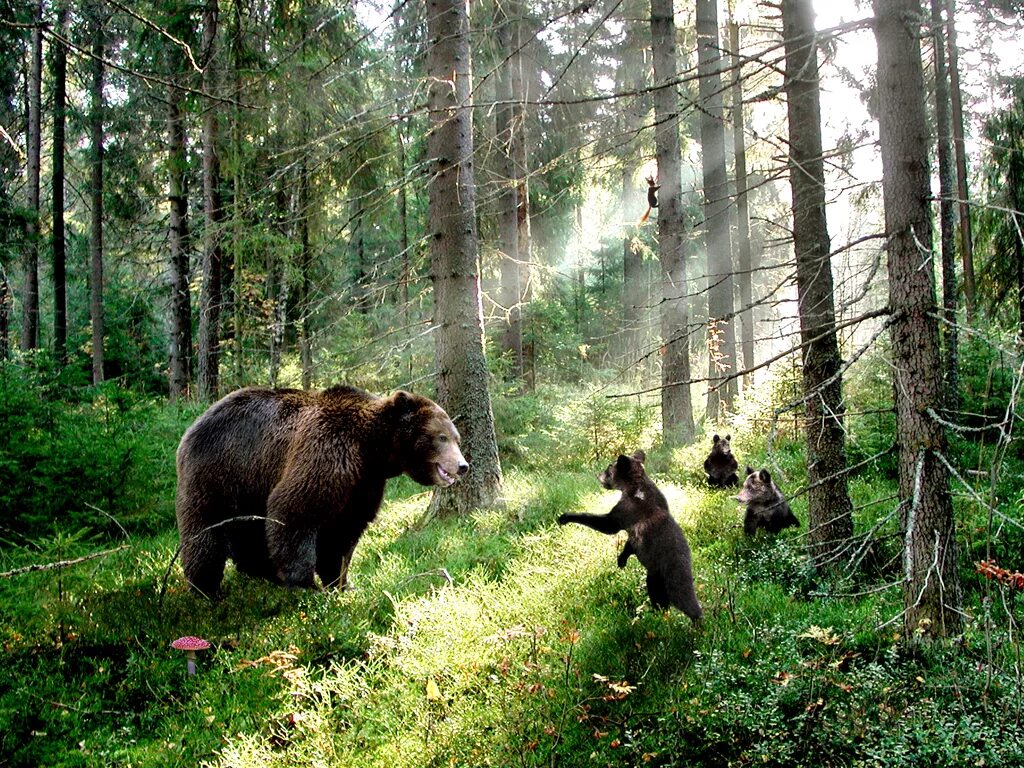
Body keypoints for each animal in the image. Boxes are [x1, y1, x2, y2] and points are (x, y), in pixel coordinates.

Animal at [174, 387, 466, 598]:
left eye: (457, 438)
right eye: (441, 437)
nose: (462, 465)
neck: (372, 450)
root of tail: (191, 428)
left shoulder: (362, 484)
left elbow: (343, 533)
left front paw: (341, 583)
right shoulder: (328, 450)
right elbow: (295, 509)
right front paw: (306, 585)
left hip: (249, 483)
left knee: (248, 532)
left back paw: (262, 573)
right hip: (220, 469)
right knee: (205, 528)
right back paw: (206, 589)